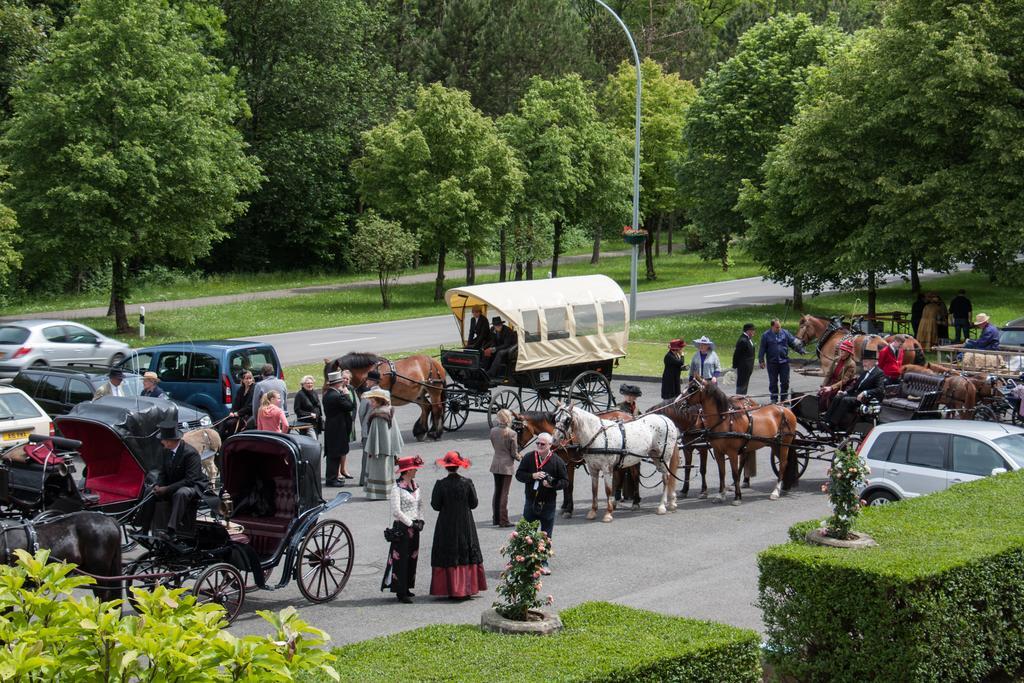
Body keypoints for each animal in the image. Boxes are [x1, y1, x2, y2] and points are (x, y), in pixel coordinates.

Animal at [688, 376, 798, 505]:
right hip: (775, 444)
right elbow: (722, 473)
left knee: (783, 463)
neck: (724, 421)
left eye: (692, 388)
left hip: (784, 442)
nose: (681, 403)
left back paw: (776, 491)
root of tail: (785, 409)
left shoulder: (732, 452)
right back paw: (784, 487)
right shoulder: (718, 452)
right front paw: (721, 495)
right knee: (784, 462)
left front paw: (737, 497)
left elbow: (735, 474)